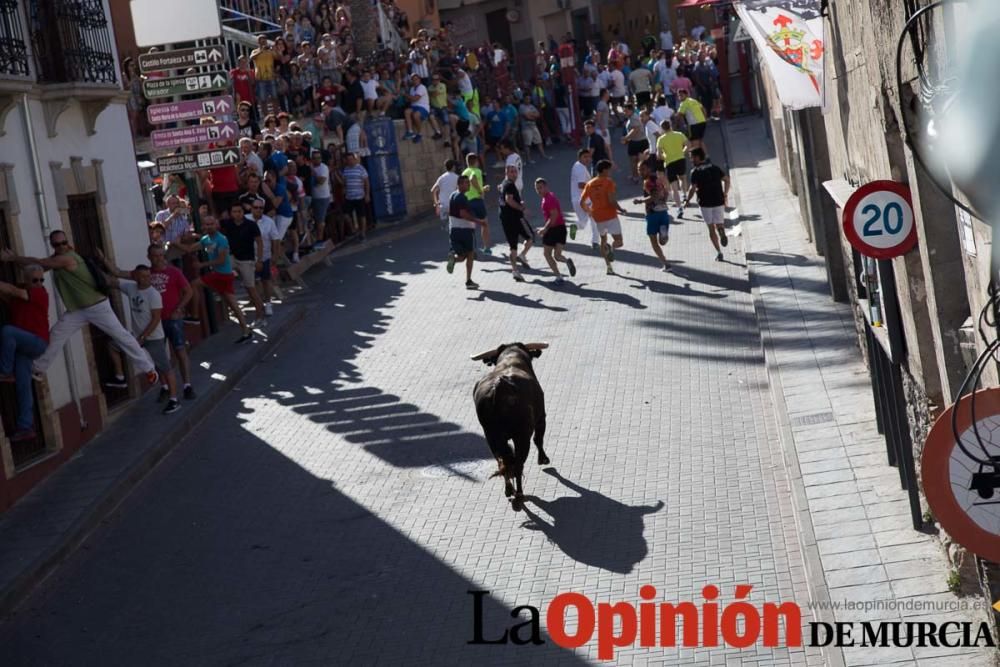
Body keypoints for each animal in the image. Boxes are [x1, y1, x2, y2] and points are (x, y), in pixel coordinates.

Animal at [472, 342, 552, 508]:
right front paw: (543, 459)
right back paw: (519, 496)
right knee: (518, 464)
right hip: (521, 436)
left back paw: (509, 490)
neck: (510, 358)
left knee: (502, 461)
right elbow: (539, 439)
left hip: (491, 437)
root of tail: (499, 387)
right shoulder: (541, 418)